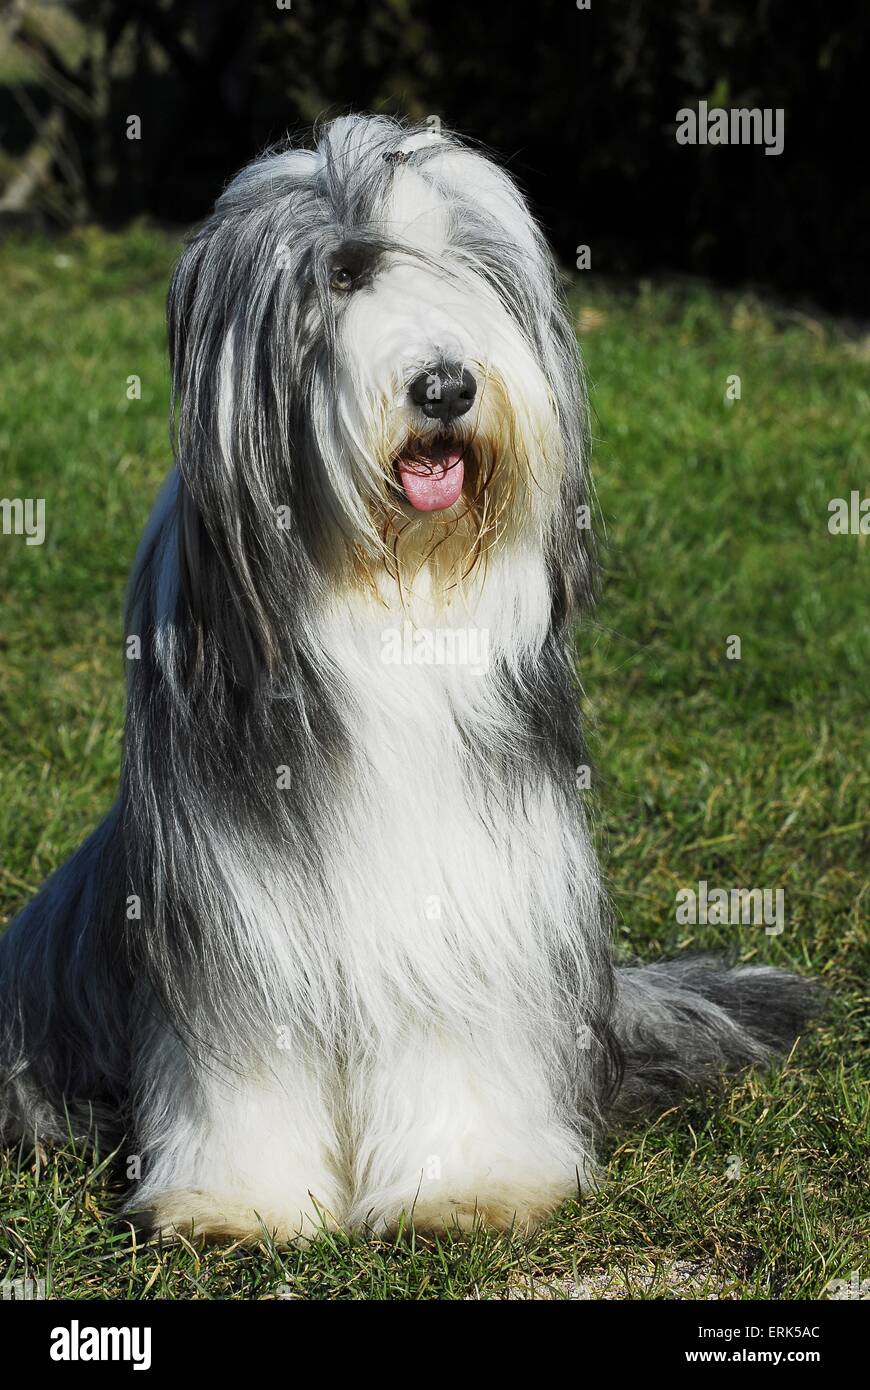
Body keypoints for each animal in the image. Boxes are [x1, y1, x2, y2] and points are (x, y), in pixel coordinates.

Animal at [0, 116, 811, 1239]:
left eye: (464, 268)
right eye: (342, 277)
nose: (446, 387)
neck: (393, 593)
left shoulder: (476, 876)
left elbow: (455, 1034)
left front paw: (462, 1186)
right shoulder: (237, 899)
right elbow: (246, 1052)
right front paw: (236, 1200)